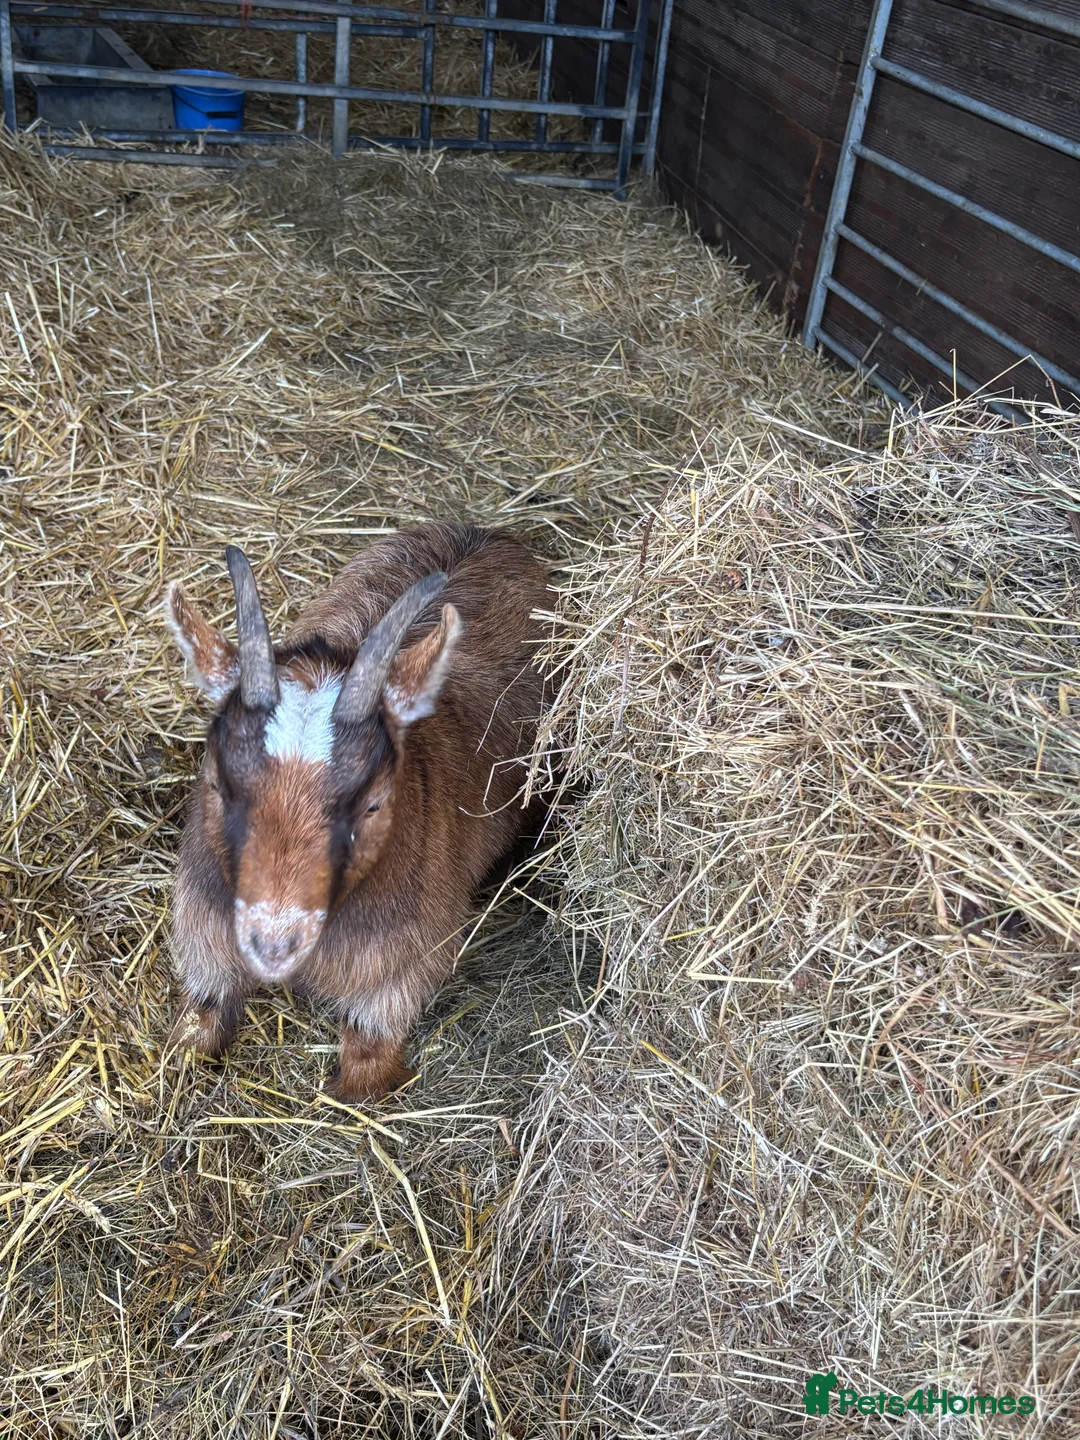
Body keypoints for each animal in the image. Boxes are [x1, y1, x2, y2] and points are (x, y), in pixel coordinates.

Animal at [164, 522, 549, 1102]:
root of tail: (491, 534)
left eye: (373, 803)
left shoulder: (406, 962)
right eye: (217, 782)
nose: (273, 944)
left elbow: (366, 1060)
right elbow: (197, 1024)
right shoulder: (203, 927)